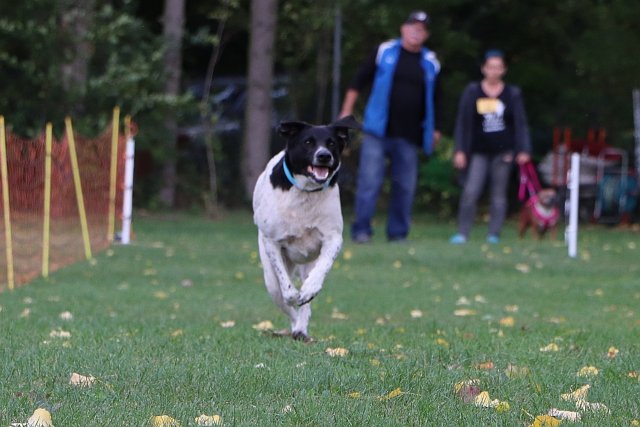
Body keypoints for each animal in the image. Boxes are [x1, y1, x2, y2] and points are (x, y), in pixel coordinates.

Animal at [251, 115, 360, 342]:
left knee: (305, 304)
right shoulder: (272, 242)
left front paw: (310, 288)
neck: (307, 193)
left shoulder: (333, 238)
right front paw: (293, 295)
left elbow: (322, 269)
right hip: (269, 278)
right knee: (284, 299)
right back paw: (295, 326)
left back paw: (301, 327)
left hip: (306, 264)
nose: (324, 156)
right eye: (308, 142)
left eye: (331, 143)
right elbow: (287, 289)